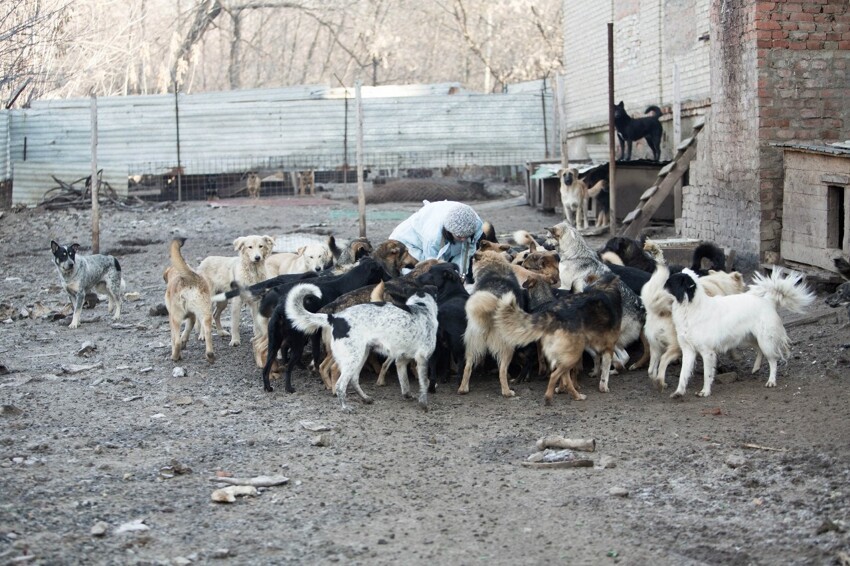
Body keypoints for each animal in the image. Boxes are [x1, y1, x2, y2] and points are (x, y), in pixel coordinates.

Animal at [284, 282, 438, 412]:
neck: (421, 306)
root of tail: (335, 318)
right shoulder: (423, 358)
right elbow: (424, 383)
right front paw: (424, 404)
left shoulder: (400, 360)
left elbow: (405, 382)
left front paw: (408, 395)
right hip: (353, 359)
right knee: (340, 385)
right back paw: (345, 407)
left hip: (362, 355)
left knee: (353, 379)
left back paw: (365, 398)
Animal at [664, 268, 816, 398]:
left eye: (669, 283)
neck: (690, 308)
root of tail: (768, 300)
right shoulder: (688, 350)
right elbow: (683, 374)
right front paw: (678, 392)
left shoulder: (707, 352)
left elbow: (707, 374)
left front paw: (705, 391)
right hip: (747, 339)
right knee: (759, 350)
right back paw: (756, 368)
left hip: (765, 341)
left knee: (773, 360)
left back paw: (771, 380)